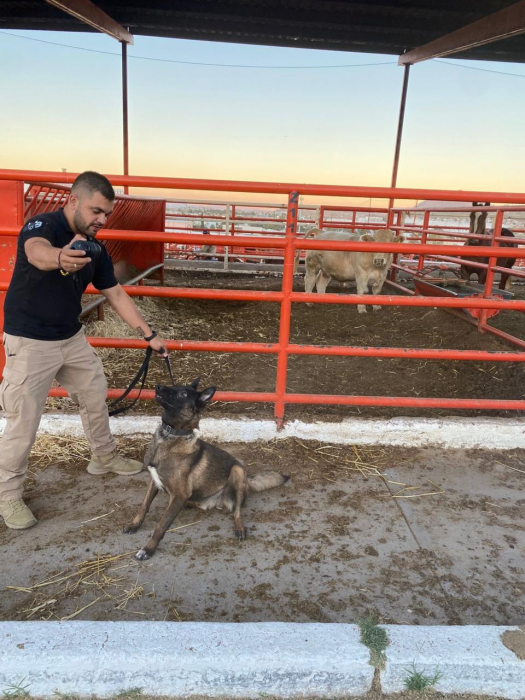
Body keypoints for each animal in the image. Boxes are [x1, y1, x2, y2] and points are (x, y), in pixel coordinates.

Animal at [124, 378, 290, 560]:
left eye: (183, 394)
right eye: (174, 386)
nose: (158, 386)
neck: (171, 436)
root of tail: (248, 481)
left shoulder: (179, 494)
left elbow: (161, 526)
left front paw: (148, 549)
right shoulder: (154, 481)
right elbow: (144, 506)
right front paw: (134, 524)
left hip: (237, 470)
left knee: (237, 512)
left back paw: (239, 528)